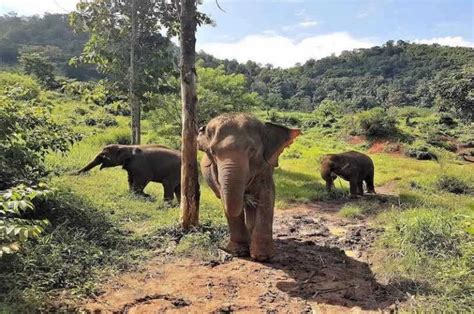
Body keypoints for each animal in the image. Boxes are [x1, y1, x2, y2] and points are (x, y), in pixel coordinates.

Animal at [197, 113, 300, 262]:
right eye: (212, 152)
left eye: (252, 150)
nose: (221, 247)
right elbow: (228, 200)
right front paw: (239, 252)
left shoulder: (265, 167)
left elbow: (267, 196)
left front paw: (262, 257)